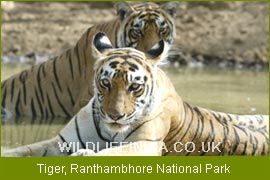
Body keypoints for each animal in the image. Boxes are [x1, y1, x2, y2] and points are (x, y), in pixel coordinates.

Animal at [2, 33, 268, 157]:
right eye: (106, 83)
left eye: (134, 87)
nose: (115, 116)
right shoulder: (62, 142)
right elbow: (25, 149)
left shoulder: (145, 145)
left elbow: (110, 154)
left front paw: (86, 154)